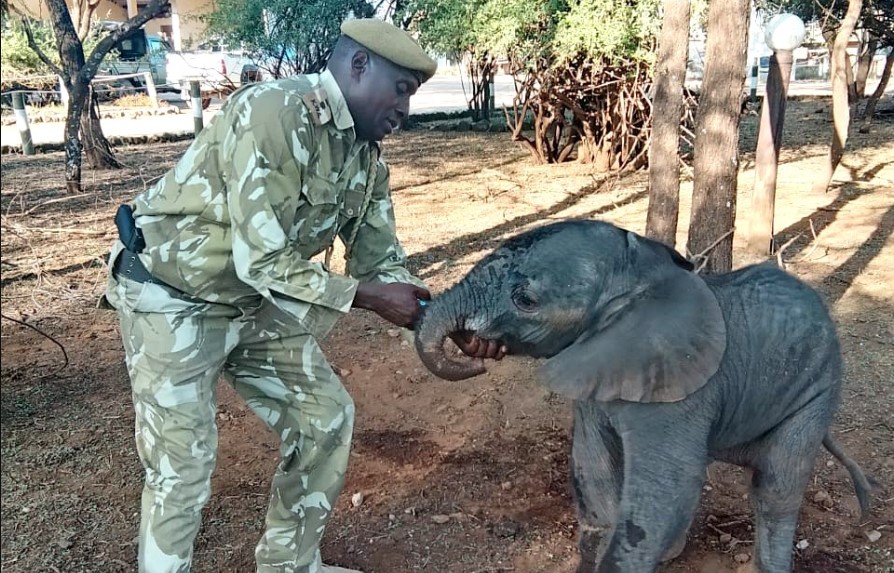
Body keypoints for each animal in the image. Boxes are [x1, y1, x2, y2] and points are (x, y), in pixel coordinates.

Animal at [413, 219, 873, 573]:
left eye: (524, 300)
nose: (475, 354)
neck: (640, 275)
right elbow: (594, 472)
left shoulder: (679, 389)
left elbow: (663, 490)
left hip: (819, 386)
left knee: (775, 487)